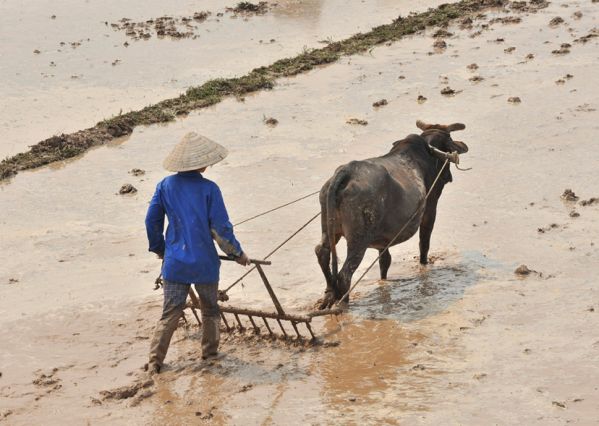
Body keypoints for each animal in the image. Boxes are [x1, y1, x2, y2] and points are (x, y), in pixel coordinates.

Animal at [314, 118, 468, 308]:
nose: (449, 176)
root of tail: (346, 171)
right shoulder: (430, 207)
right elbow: (424, 243)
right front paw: (424, 265)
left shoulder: (384, 238)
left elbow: (384, 261)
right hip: (359, 240)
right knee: (345, 274)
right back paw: (343, 303)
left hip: (330, 229)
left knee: (322, 252)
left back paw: (329, 296)